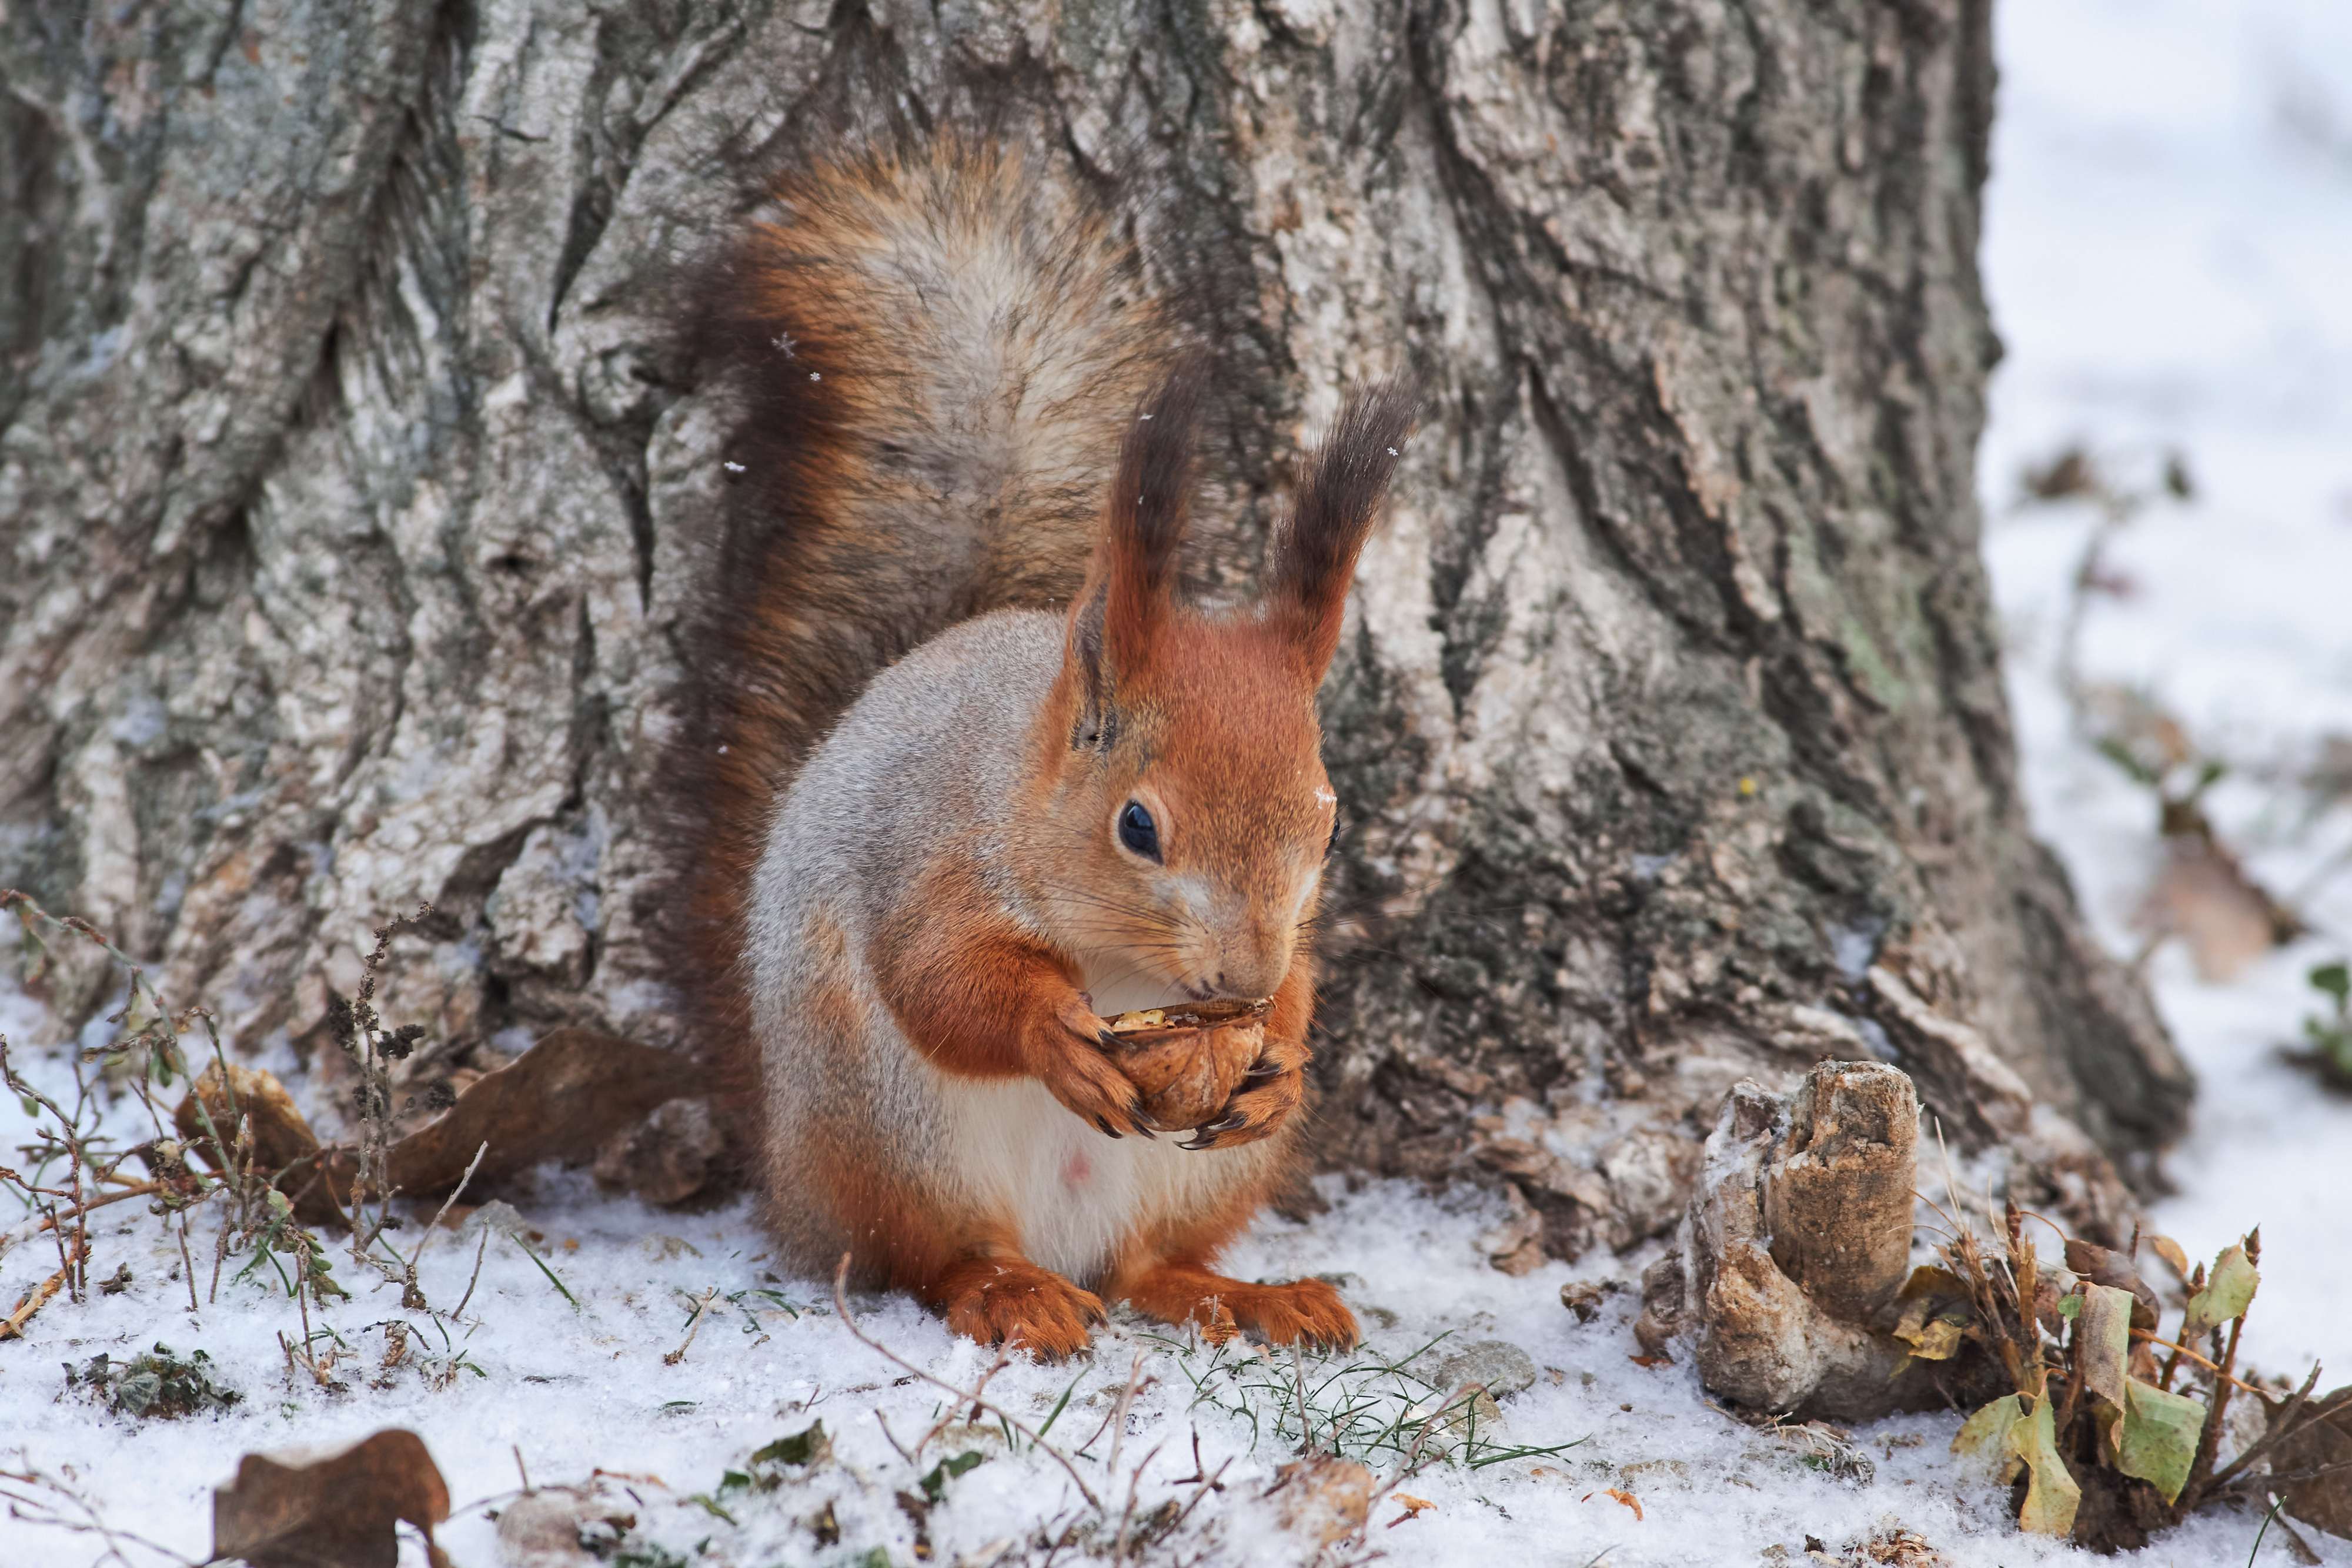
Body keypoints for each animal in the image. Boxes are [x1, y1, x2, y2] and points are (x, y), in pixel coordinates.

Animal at [654, 138, 1402, 1363]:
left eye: (1327, 821)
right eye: (1138, 824)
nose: (1241, 981)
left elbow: (1303, 984)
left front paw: (1280, 1053)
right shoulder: (931, 851)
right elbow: (938, 976)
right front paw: (1051, 1029)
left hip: (1198, 1182)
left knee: (1148, 1267)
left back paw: (1249, 1295)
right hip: (893, 1129)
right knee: (927, 1255)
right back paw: (1010, 1292)